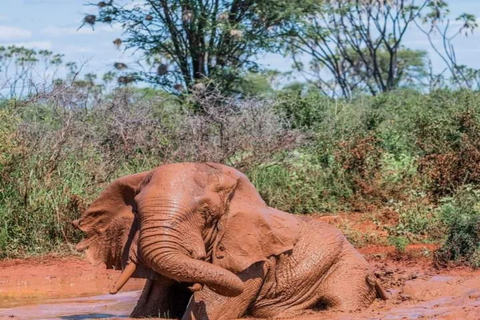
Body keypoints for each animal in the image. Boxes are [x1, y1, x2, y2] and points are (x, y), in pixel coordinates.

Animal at [73, 164, 388, 318]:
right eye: (136, 211)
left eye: (206, 213)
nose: (193, 285)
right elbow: (151, 310)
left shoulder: (249, 263)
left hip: (347, 269)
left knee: (342, 302)